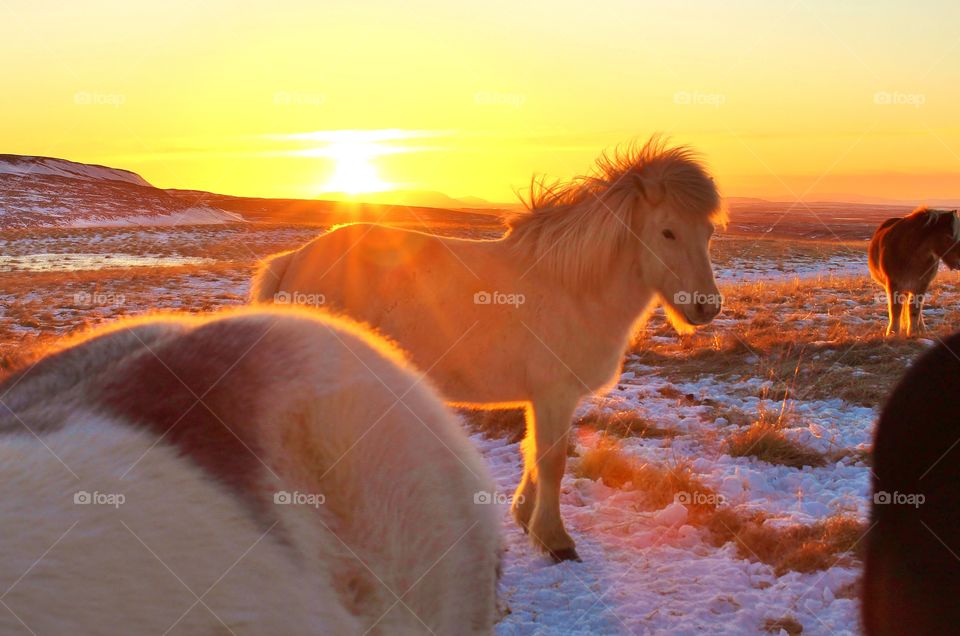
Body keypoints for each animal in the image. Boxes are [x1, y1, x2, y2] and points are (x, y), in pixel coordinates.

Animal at [251, 140, 724, 560]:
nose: (706, 306)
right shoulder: (554, 395)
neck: (572, 288)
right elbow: (552, 461)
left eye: (708, 231)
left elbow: (533, 453)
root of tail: (293, 261)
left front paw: (526, 520)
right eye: (667, 231)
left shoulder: (544, 398)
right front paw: (555, 540)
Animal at [868, 209, 956, 338]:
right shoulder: (894, 284)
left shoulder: (921, 285)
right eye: (949, 236)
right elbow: (895, 309)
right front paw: (893, 333)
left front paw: (914, 332)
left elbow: (915, 309)